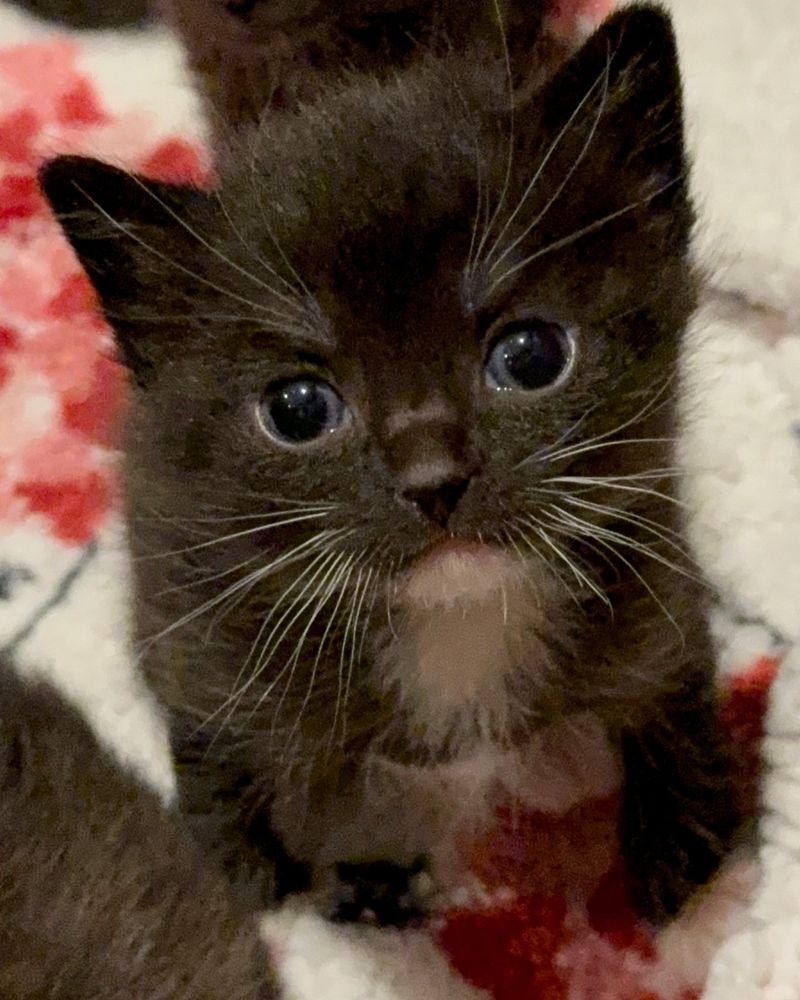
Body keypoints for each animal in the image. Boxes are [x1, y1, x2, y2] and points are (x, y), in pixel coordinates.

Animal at [40, 0, 740, 936]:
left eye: (532, 355)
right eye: (298, 410)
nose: (433, 479)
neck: (456, 622)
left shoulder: (655, 558)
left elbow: (676, 677)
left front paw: (684, 848)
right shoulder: (188, 616)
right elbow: (209, 743)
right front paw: (247, 877)